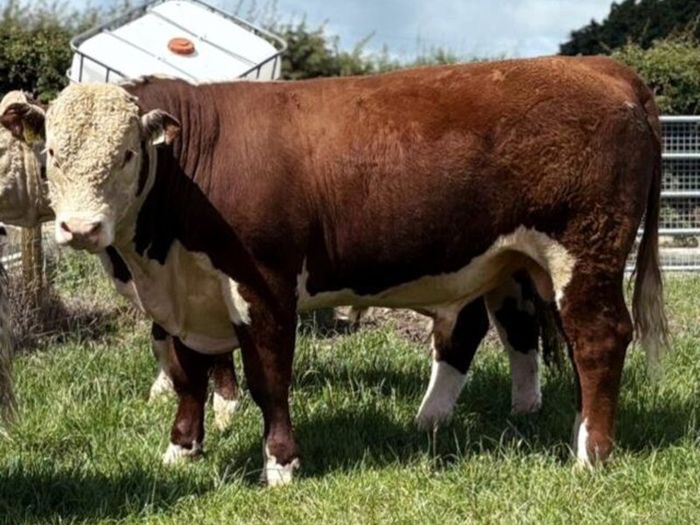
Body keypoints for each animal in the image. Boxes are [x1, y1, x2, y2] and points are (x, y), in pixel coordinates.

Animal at [2, 56, 668, 485]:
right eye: (52, 152)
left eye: (126, 154)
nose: (80, 228)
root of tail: (601, 67)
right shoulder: (175, 301)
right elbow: (187, 376)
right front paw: (181, 452)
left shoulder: (265, 285)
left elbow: (269, 380)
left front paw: (280, 465)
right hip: (512, 262)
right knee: (504, 332)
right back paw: (462, 420)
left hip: (586, 250)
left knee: (598, 338)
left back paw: (590, 452)